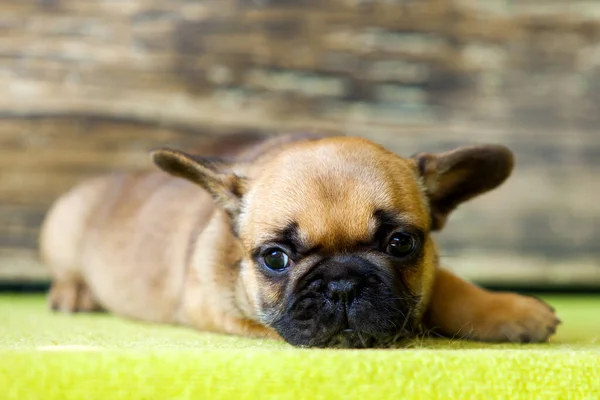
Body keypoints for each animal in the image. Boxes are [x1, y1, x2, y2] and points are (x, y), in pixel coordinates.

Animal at [39, 132, 560, 346]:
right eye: (275, 258)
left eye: (401, 244)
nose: (343, 284)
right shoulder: (216, 307)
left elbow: (447, 283)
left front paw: (506, 310)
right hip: (62, 225)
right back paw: (73, 292)